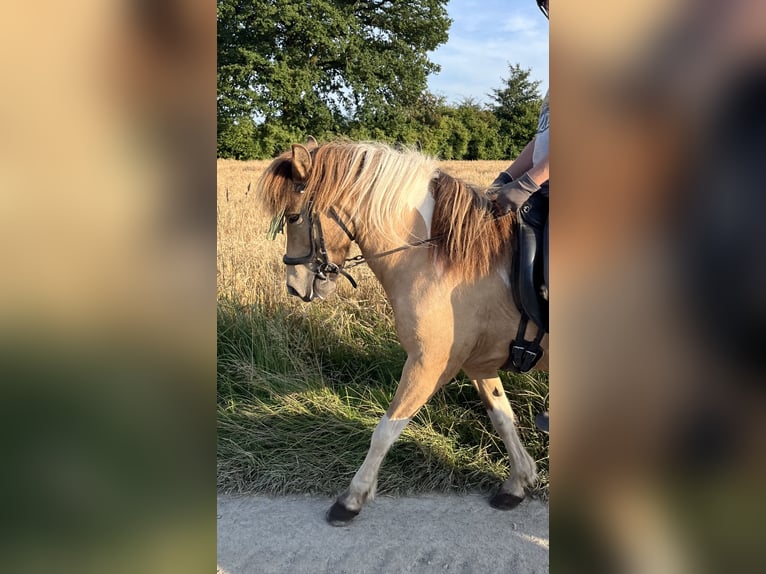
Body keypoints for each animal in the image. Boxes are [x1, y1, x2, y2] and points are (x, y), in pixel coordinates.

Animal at [256, 138, 544, 528]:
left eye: (293, 217)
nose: (294, 287)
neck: (440, 258)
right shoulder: (478, 364)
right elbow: (503, 418)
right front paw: (518, 482)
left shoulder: (428, 364)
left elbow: (386, 430)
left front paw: (352, 499)